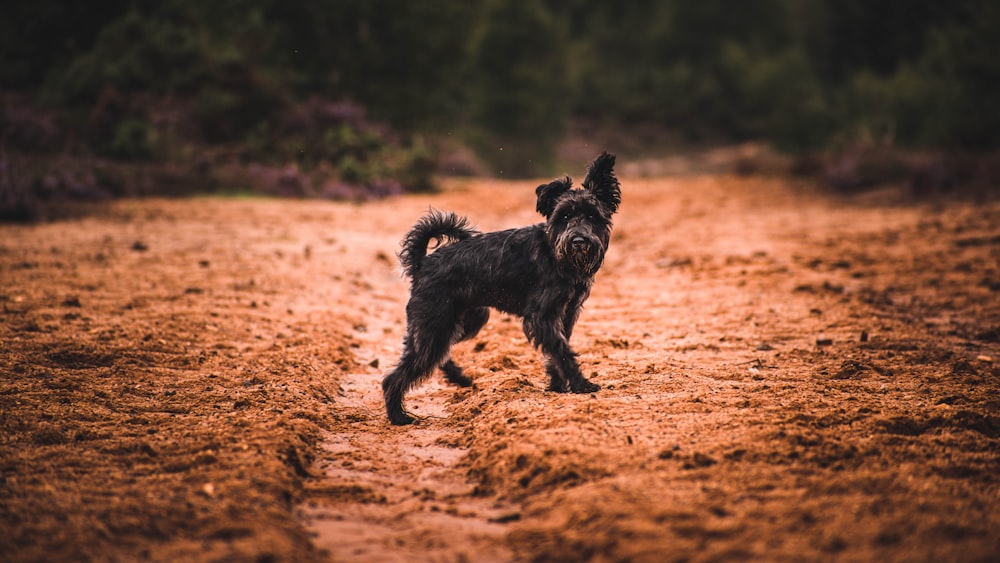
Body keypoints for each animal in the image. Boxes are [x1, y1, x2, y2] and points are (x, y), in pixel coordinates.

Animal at [380, 152, 616, 426]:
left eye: (592, 216)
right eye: (564, 217)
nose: (578, 241)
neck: (556, 255)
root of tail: (422, 262)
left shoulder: (566, 313)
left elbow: (558, 349)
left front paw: (558, 386)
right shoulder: (543, 316)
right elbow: (562, 350)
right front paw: (580, 385)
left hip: (462, 322)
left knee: (434, 356)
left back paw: (458, 378)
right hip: (436, 325)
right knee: (396, 375)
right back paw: (398, 416)